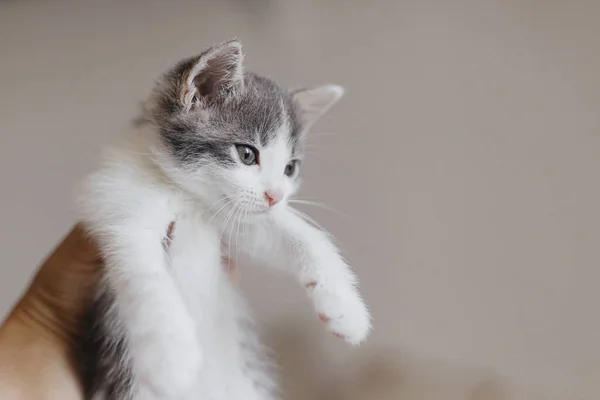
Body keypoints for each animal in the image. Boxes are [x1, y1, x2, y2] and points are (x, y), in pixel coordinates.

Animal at [76, 41, 370, 400]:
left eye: (290, 168)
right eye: (246, 154)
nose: (276, 196)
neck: (189, 199)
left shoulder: (237, 220)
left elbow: (304, 236)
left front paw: (345, 308)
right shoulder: (115, 201)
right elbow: (142, 271)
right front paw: (170, 355)